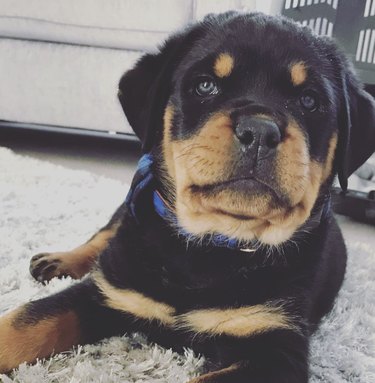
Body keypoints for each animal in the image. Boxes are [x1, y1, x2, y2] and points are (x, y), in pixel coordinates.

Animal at [0, 12, 375, 383]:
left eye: (309, 101)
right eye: (205, 85)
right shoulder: (107, 292)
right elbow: (27, 320)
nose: (259, 131)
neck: (213, 246)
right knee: (104, 237)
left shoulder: (275, 347)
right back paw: (58, 261)